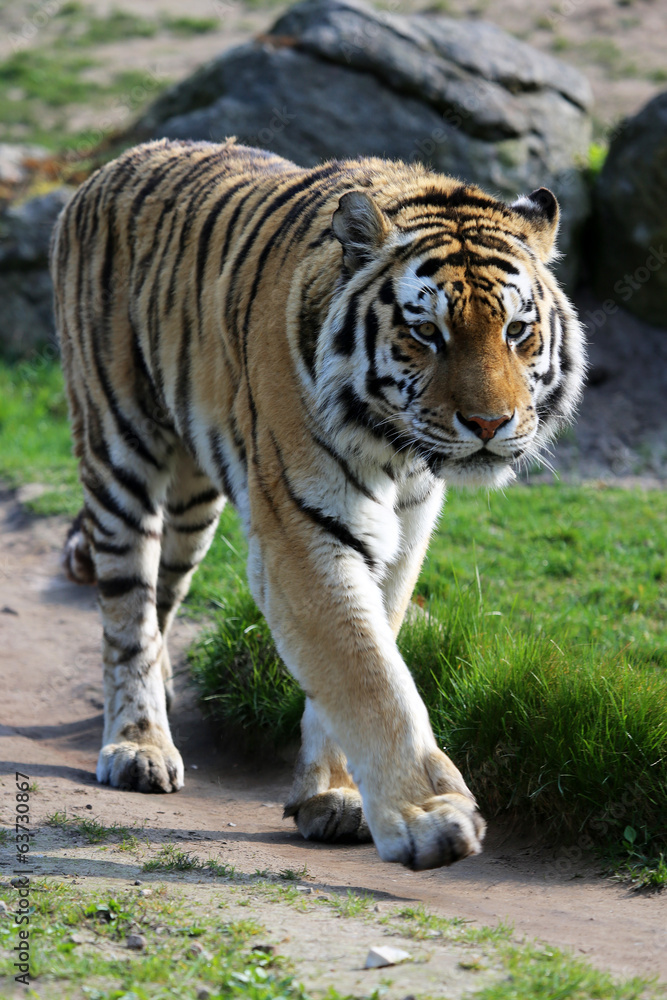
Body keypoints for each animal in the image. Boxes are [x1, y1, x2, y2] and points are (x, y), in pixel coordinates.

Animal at [50, 138, 586, 871]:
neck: (395, 450)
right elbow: (368, 674)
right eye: (427, 332)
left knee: (163, 593)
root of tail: (111, 165)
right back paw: (138, 744)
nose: (489, 423)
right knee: (126, 607)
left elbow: (364, 649)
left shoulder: (404, 536)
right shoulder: (303, 533)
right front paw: (428, 817)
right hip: (118, 447)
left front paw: (331, 796)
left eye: (516, 330)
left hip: (192, 502)